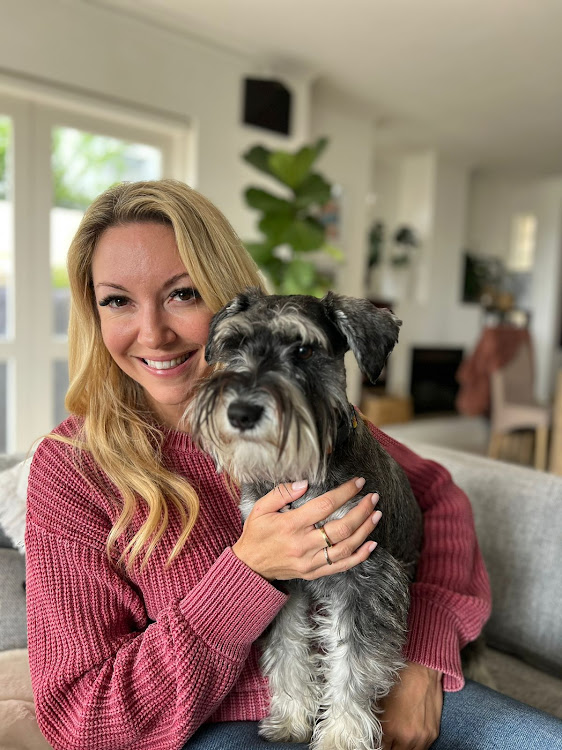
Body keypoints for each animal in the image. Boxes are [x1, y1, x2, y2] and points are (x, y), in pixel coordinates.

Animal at [188, 288, 420, 750]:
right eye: (235, 345)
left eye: (303, 350)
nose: (241, 412)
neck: (299, 472)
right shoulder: (283, 578)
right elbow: (288, 647)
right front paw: (293, 718)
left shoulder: (367, 581)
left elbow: (352, 665)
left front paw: (340, 738)